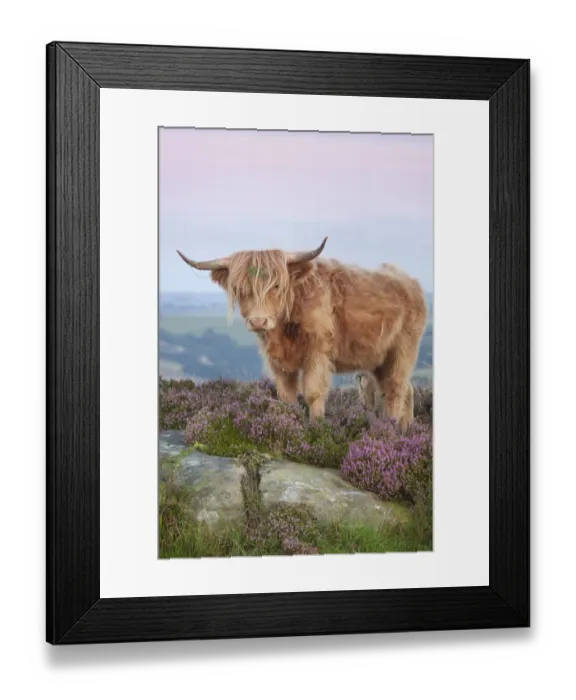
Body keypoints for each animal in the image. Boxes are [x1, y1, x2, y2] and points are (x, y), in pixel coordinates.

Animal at [177, 237, 428, 428]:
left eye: (277, 286)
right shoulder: (278, 361)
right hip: (377, 358)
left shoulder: (317, 351)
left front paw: (316, 428)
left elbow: (312, 392)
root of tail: (410, 282)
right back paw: (404, 429)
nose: (258, 321)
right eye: (241, 289)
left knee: (395, 389)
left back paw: (391, 429)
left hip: (402, 349)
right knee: (403, 389)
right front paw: (289, 423)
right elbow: (286, 395)